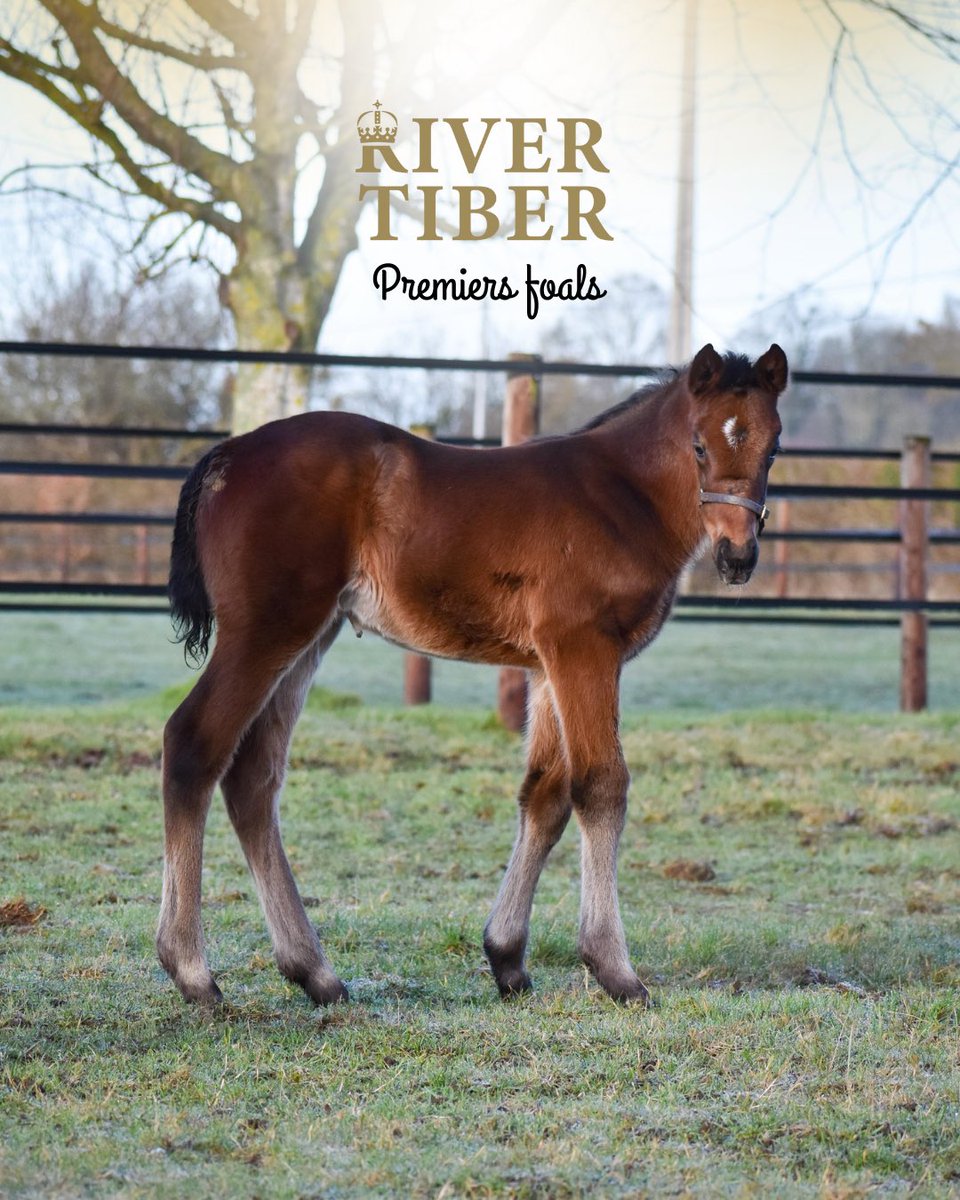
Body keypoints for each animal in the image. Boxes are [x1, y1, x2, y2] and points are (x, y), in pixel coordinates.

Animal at [157, 342, 786, 1008]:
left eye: (773, 447)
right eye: (699, 445)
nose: (737, 557)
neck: (620, 498)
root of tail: (228, 453)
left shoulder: (548, 666)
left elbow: (545, 795)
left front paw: (507, 958)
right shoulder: (584, 647)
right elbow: (600, 785)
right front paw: (616, 970)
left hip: (307, 640)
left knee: (254, 775)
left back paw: (314, 972)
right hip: (265, 631)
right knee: (193, 742)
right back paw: (193, 971)